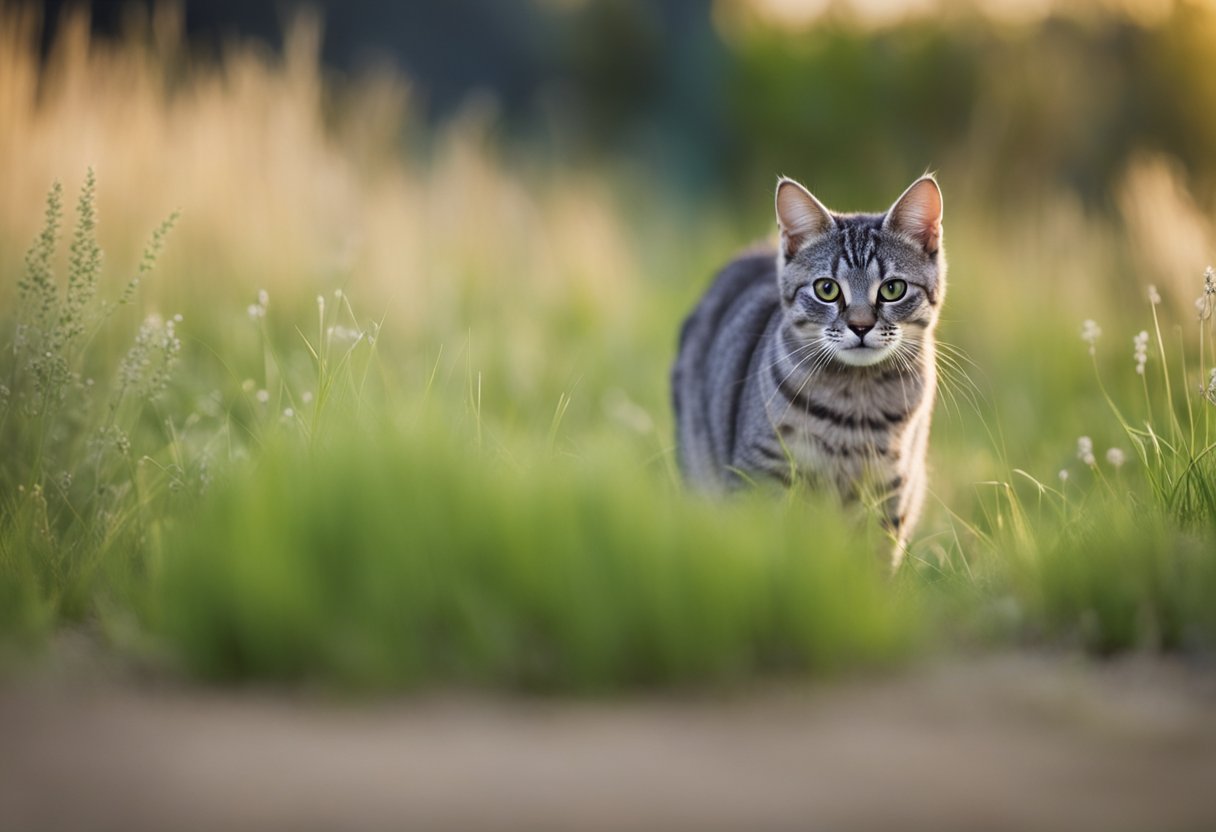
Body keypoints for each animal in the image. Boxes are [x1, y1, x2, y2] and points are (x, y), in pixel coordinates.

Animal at [671, 173, 943, 559]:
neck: (854, 404)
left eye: (893, 289)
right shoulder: (763, 476)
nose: (861, 326)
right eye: (827, 289)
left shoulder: (889, 494)